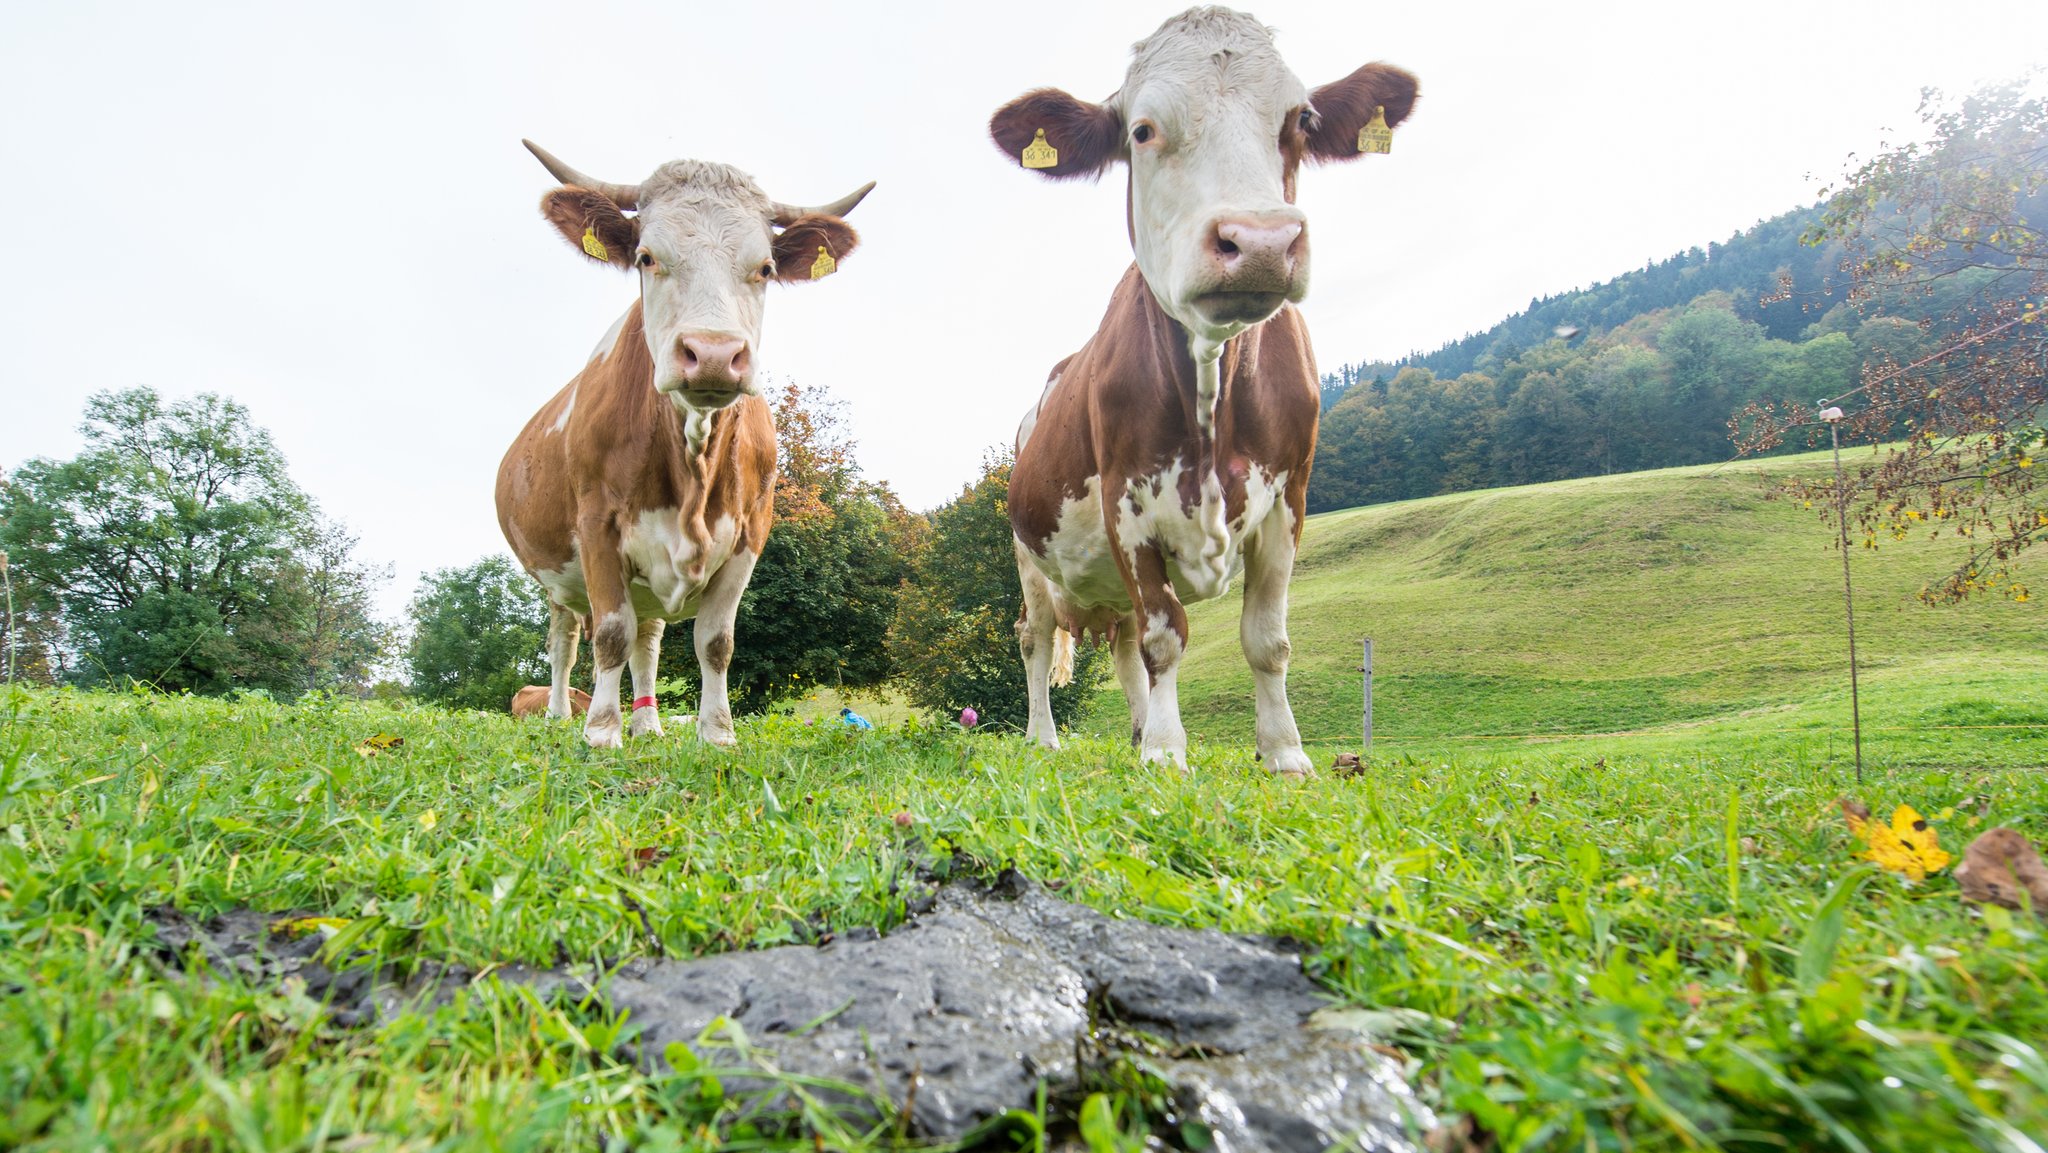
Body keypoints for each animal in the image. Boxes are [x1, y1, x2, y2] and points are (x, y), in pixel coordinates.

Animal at [503, 142, 880, 749]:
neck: (692, 462)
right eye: (646, 258)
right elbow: (609, 633)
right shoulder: (597, 523)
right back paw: (563, 716)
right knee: (567, 642)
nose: (713, 354)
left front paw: (717, 732)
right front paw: (601, 732)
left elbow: (715, 642)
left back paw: (648, 722)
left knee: (648, 644)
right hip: (556, 577)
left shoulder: (751, 532)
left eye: (766, 268)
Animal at [995, 6, 1417, 774]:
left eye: (1302, 119)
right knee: (1037, 638)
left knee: (1123, 646)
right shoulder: (1127, 503)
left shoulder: (1290, 498)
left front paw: (1283, 751)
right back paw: (1046, 737)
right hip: (1028, 557)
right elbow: (1168, 633)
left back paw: (1136, 729)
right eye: (1141, 130)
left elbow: (1266, 638)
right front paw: (1168, 753)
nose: (1259, 241)